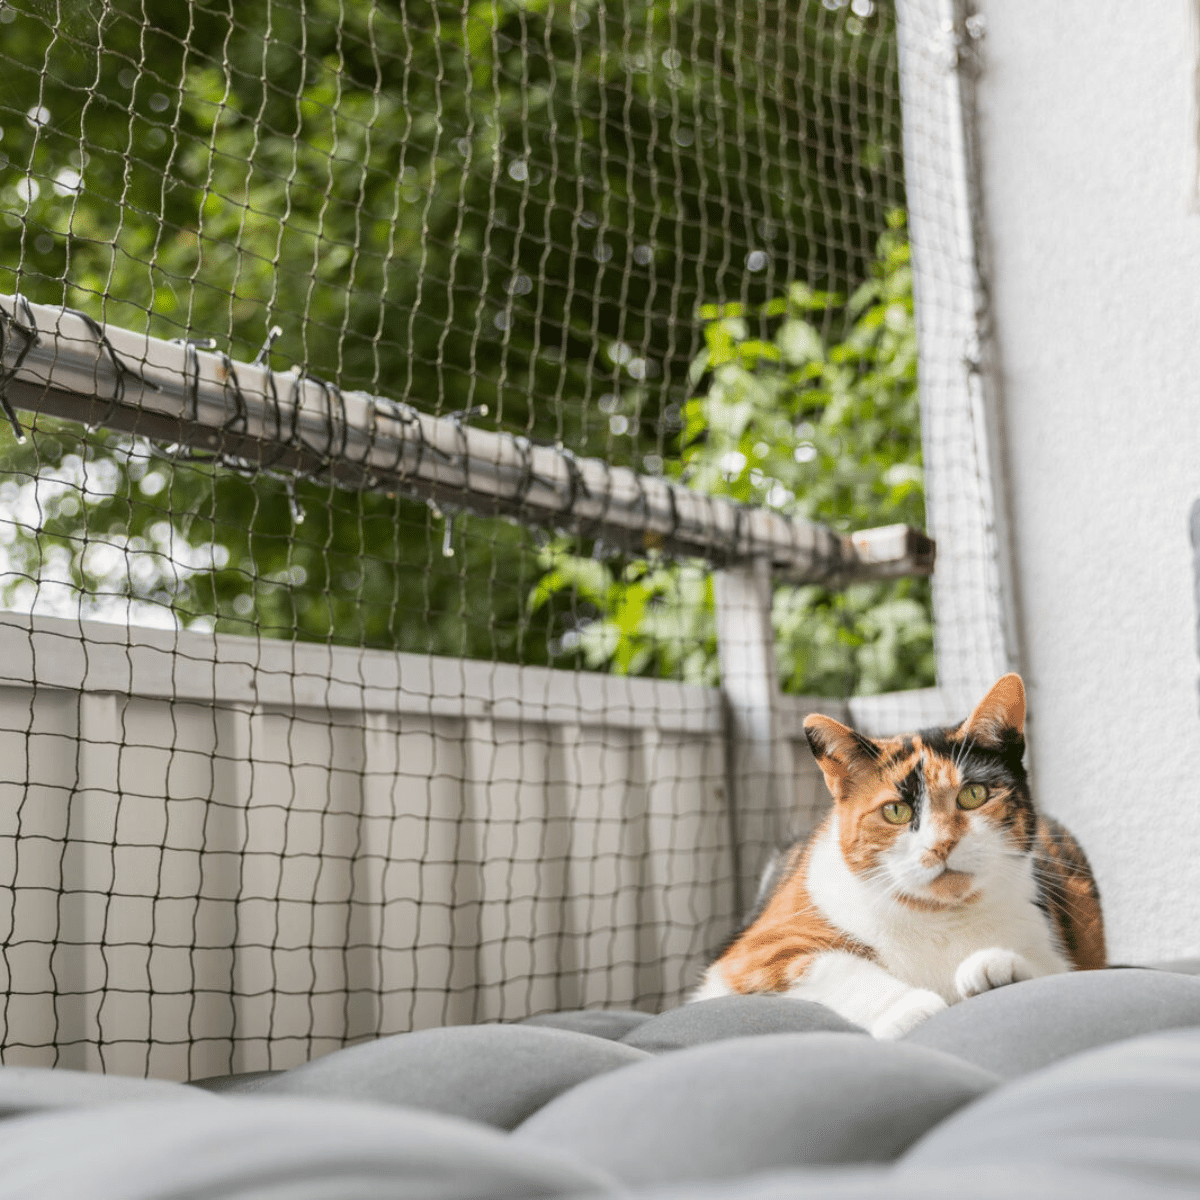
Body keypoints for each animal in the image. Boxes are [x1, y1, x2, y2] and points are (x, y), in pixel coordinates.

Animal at [693, 673, 1105, 1038]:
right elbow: (835, 966)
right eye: (895, 811)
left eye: (973, 795)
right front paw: (910, 1008)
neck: (941, 920)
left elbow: (1054, 969)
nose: (941, 844)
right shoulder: (756, 950)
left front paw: (995, 967)